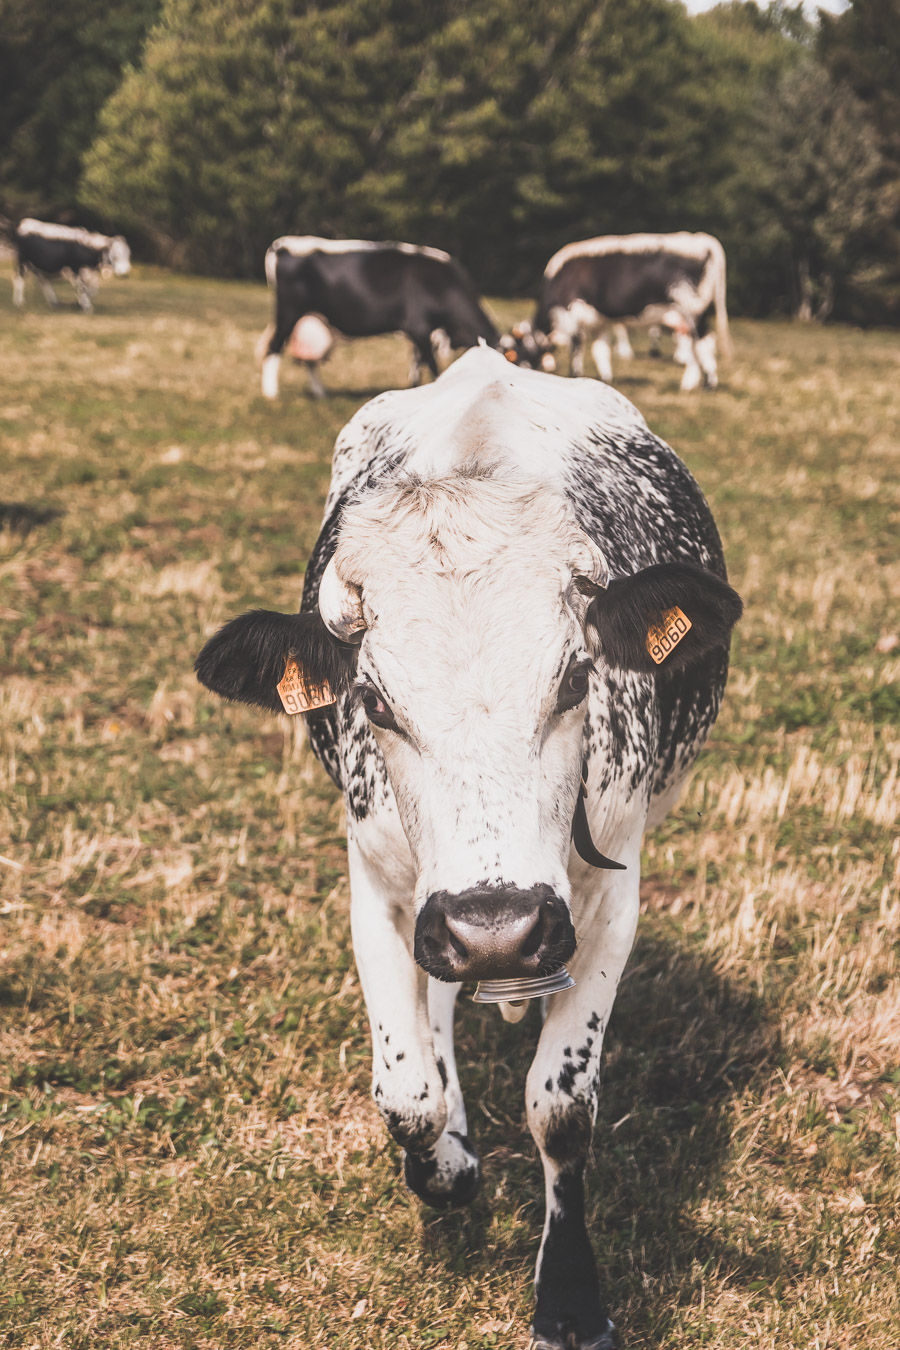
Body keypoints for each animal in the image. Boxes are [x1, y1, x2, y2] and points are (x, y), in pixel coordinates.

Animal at [195, 348, 739, 1350]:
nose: (498, 928)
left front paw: (570, 1295)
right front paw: (444, 1168)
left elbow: (561, 1108)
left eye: (576, 680)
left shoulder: (610, 900)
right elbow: (406, 1093)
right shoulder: (378, 883)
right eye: (374, 702)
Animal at [260, 234, 499, 394]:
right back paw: (271, 394)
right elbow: (432, 366)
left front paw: (413, 388)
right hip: (288, 312)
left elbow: (417, 363)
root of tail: (284, 244)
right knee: (273, 347)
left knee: (309, 360)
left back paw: (320, 393)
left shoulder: (424, 334)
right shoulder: (419, 326)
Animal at [507, 230, 734, 391]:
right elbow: (600, 351)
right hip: (691, 313)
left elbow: (577, 347)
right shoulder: (598, 321)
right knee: (697, 344)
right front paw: (604, 378)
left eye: (511, 353)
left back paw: (709, 384)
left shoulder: (572, 313)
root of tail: (700, 239)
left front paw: (574, 376)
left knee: (703, 343)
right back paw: (689, 383)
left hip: (692, 308)